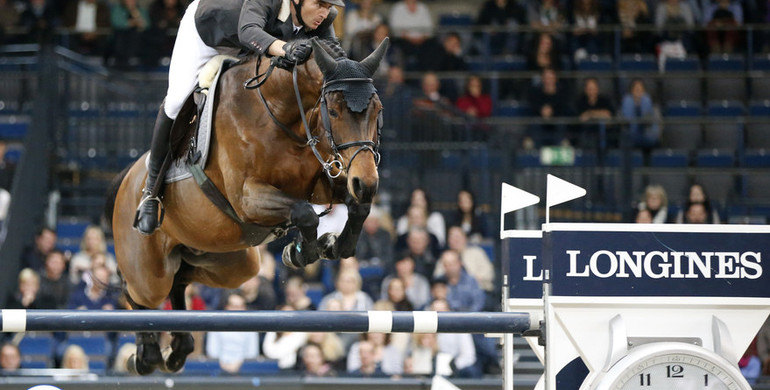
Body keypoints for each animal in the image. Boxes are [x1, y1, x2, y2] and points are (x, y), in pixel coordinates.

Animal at [103, 38, 390, 374]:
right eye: (333, 110)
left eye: (378, 110)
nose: (366, 182)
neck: (283, 113)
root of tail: (127, 178)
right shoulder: (248, 198)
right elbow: (304, 213)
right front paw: (303, 252)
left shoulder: (325, 181)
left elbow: (358, 208)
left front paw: (330, 245)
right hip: (150, 271)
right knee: (138, 289)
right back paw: (145, 353)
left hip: (231, 263)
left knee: (181, 277)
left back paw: (177, 348)